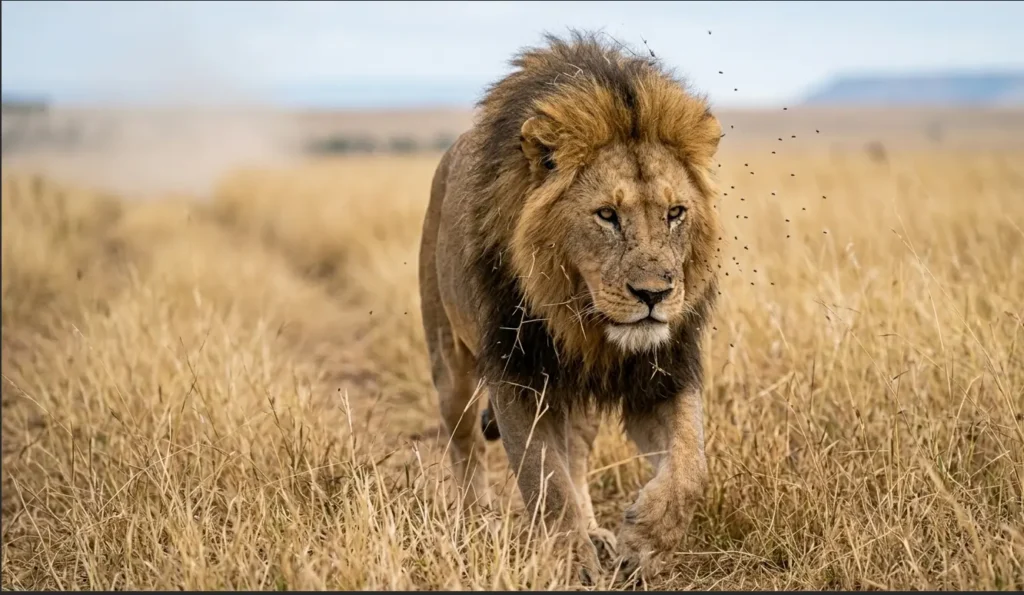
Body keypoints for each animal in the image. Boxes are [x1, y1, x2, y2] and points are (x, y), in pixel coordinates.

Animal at [418, 30, 722, 581]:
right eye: (606, 215)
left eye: (675, 213)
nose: (654, 295)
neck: (583, 321)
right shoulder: (516, 376)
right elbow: (545, 480)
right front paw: (572, 560)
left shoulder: (662, 373)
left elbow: (691, 466)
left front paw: (645, 541)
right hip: (449, 358)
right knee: (463, 440)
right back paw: (476, 523)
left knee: (575, 454)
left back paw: (597, 532)